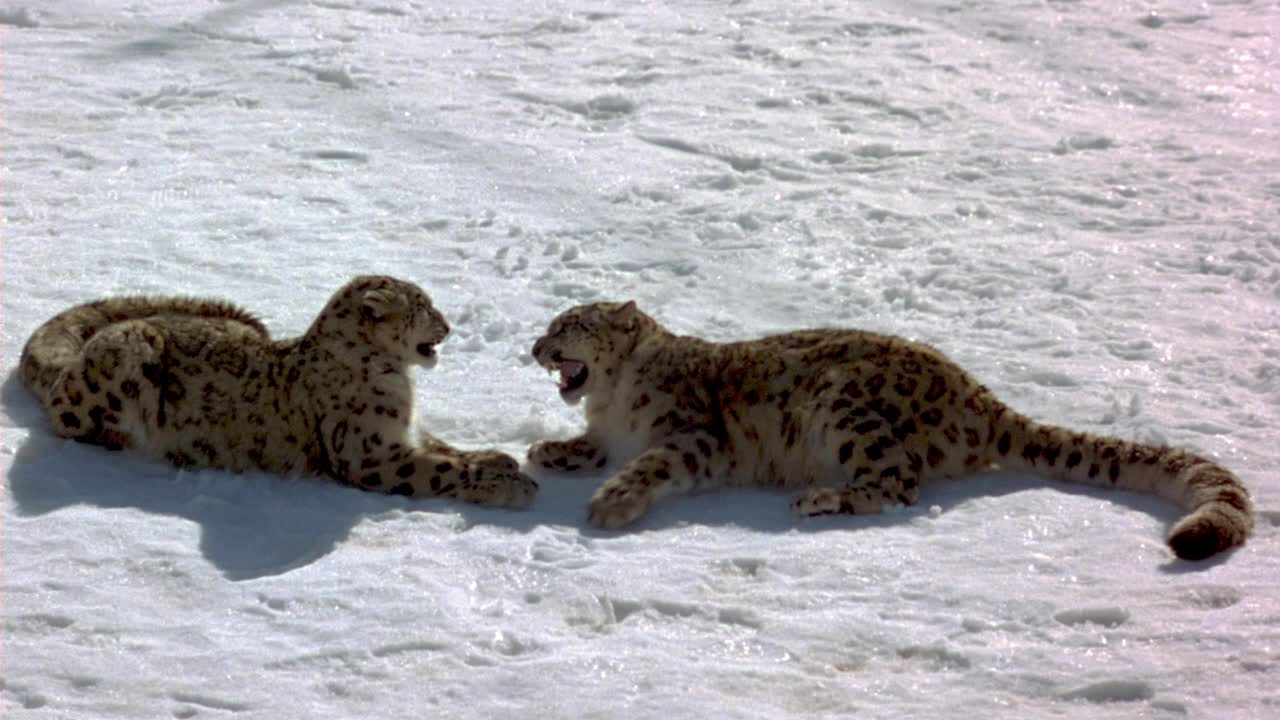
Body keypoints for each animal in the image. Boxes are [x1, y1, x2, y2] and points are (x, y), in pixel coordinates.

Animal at [23, 272, 535, 504]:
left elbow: (442, 446)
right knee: (69, 419)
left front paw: (499, 459)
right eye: (422, 305)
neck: (400, 382)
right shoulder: (370, 455)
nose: (447, 326)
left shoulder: (402, 432)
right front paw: (507, 485)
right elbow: (434, 470)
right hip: (125, 363)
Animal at [527, 299, 1249, 558]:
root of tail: (978, 397)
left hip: (846, 408)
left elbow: (651, 463)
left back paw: (822, 499)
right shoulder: (607, 432)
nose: (533, 346)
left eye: (568, 324)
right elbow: (590, 447)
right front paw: (546, 450)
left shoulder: (693, 435)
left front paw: (611, 502)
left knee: (898, 483)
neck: (613, 403)